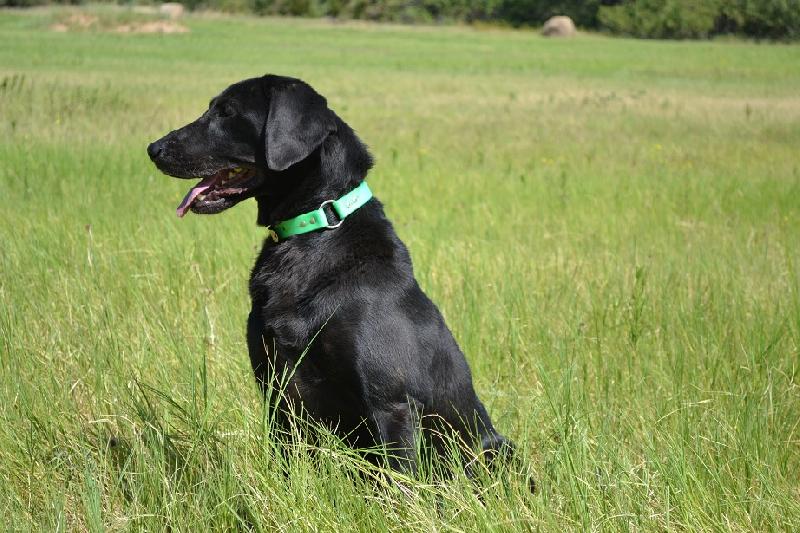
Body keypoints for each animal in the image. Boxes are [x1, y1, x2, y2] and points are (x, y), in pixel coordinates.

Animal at [148, 75, 520, 478]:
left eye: (227, 112)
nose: (153, 149)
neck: (314, 228)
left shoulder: (392, 405)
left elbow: (400, 483)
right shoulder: (277, 392)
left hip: (495, 450)